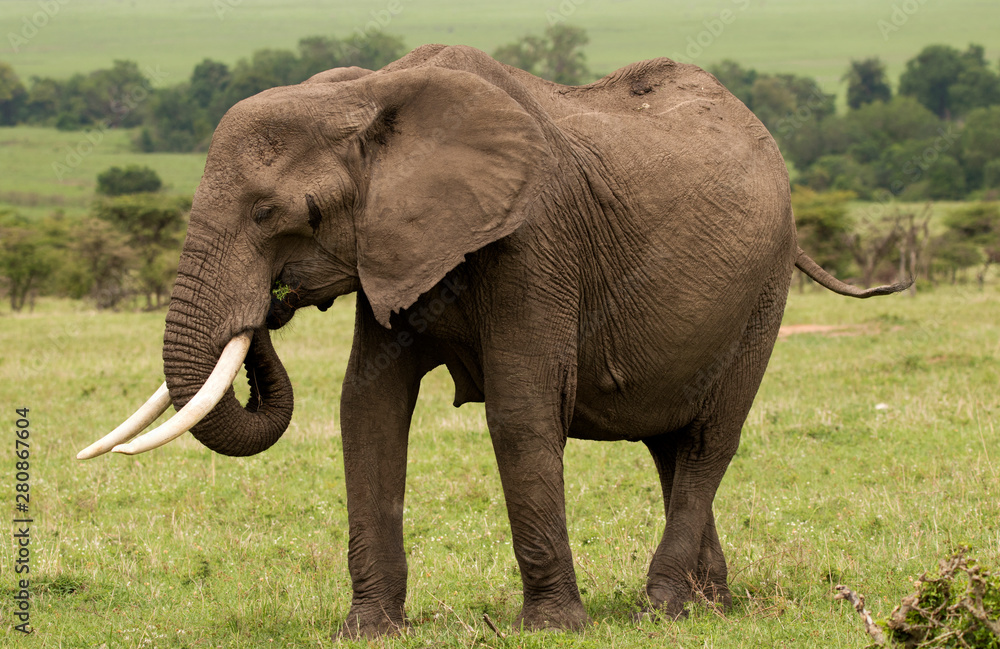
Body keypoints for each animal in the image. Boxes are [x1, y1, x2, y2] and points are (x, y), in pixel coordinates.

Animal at [80, 44, 907, 636]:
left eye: (272, 213)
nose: (271, 306)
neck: (372, 92)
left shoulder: (534, 237)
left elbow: (519, 409)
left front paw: (553, 626)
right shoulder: (397, 245)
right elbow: (367, 407)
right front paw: (368, 629)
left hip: (764, 290)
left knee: (708, 441)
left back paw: (663, 608)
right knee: (670, 446)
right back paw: (713, 605)